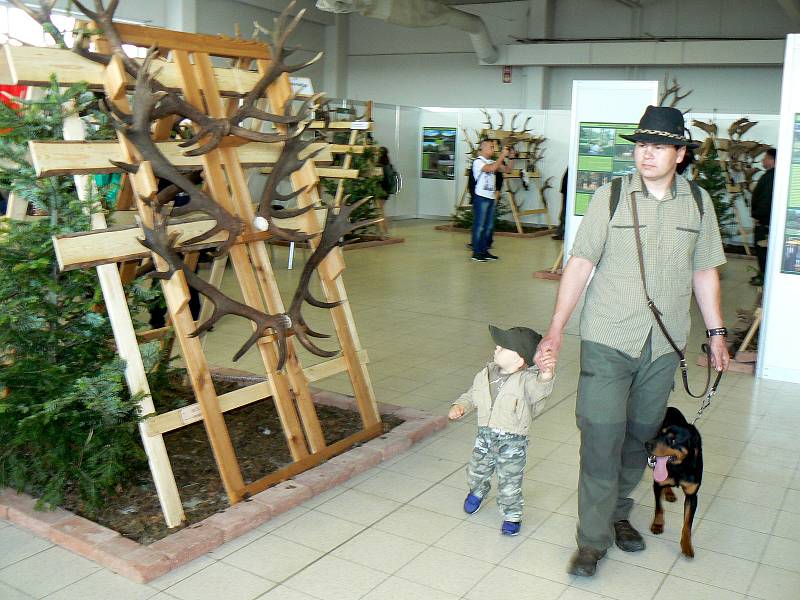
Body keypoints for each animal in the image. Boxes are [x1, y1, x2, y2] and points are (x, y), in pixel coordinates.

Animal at [644, 406, 700, 560]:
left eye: (673, 440)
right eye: (660, 435)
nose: (647, 444)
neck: (678, 467)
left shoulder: (692, 496)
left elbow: (687, 524)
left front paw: (686, 546)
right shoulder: (657, 485)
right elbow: (659, 508)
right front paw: (657, 525)